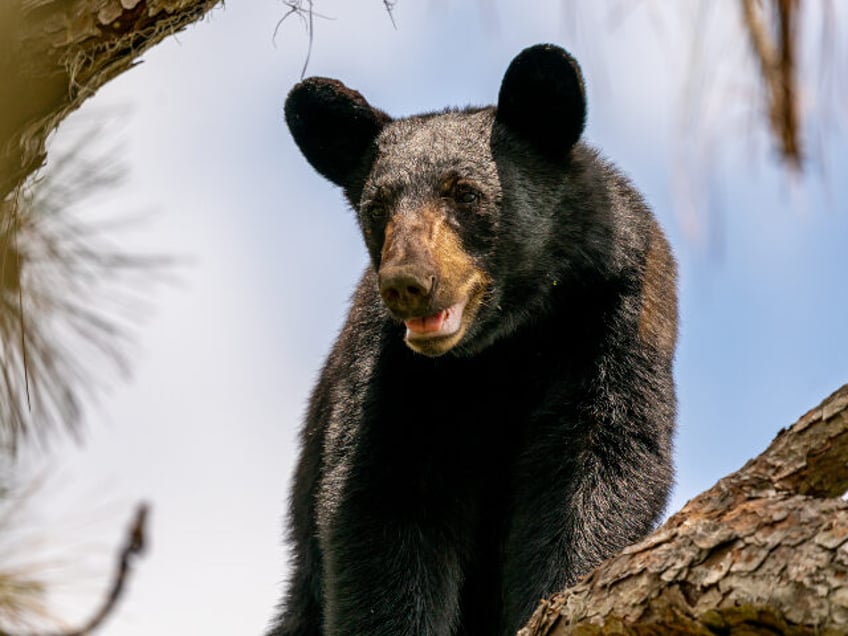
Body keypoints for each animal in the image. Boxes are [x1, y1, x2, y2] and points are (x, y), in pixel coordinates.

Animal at [268, 43, 680, 636]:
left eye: (465, 193)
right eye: (377, 207)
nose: (408, 283)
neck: (504, 342)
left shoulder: (614, 315)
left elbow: (598, 465)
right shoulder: (390, 367)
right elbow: (382, 506)